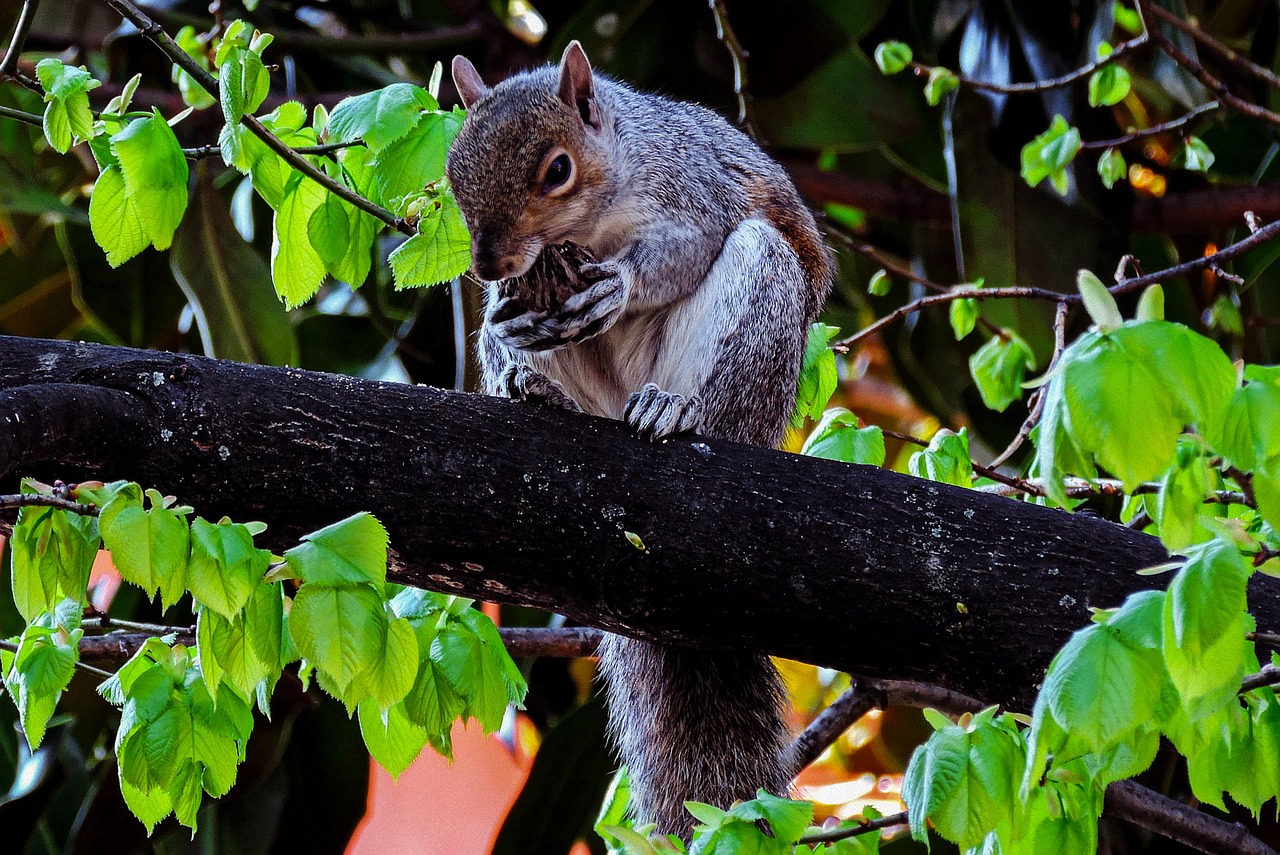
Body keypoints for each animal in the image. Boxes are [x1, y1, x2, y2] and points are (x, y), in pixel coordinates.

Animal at [445, 41, 834, 839]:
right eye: (453, 170)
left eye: (557, 169)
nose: (490, 265)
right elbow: (501, 315)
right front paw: (505, 313)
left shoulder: (696, 193)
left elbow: (682, 251)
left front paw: (618, 285)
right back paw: (534, 388)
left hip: (756, 314)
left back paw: (673, 409)